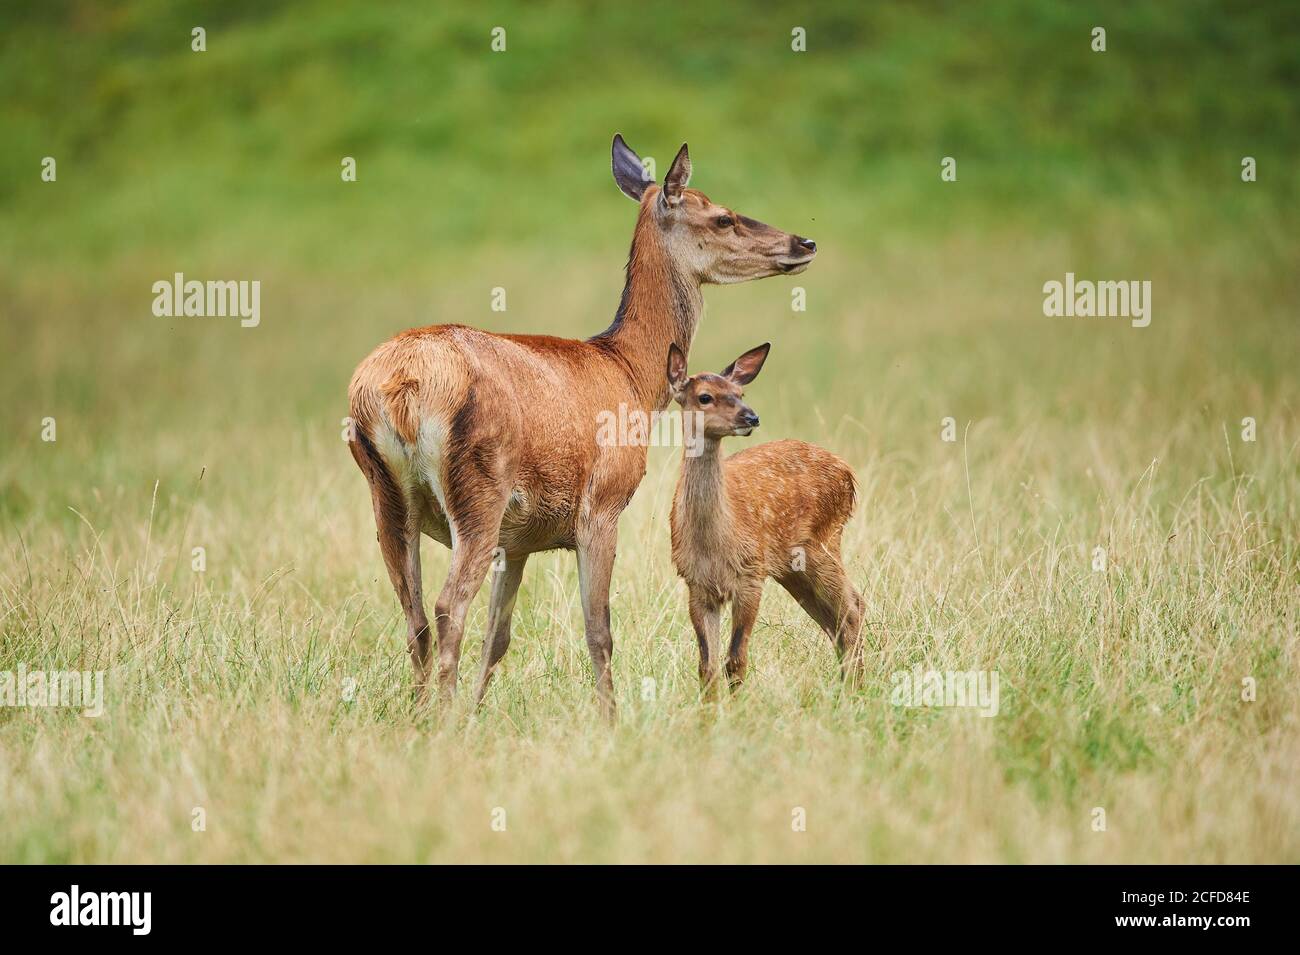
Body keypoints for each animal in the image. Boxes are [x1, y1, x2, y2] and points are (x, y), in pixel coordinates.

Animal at [345, 136, 811, 717]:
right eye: (723, 216)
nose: (804, 241)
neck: (631, 375)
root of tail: (398, 388)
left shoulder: (517, 541)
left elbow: (499, 637)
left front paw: (479, 712)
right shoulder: (603, 504)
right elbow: (599, 630)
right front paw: (611, 718)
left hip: (385, 494)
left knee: (416, 619)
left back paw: (421, 714)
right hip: (478, 489)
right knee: (448, 605)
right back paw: (442, 718)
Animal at [670, 343, 863, 696]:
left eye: (740, 392)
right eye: (705, 396)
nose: (751, 416)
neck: (715, 541)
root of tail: (848, 471)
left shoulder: (750, 573)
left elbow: (735, 659)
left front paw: (737, 705)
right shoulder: (696, 583)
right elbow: (707, 665)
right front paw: (709, 708)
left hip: (824, 542)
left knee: (853, 608)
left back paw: (854, 690)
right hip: (793, 569)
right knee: (833, 619)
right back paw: (847, 687)